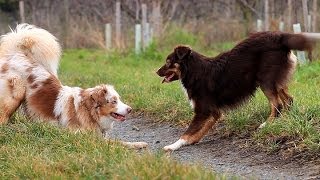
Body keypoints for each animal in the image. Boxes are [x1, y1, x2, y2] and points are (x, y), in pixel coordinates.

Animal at [157, 31, 320, 151]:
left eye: (168, 62)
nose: (156, 72)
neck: (192, 71)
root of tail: (279, 36)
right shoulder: (214, 112)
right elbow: (201, 130)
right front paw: (193, 141)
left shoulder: (203, 111)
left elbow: (188, 131)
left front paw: (173, 146)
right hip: (277, 81)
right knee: (289, 100)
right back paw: (283, 121)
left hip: (266, 80)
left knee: (277, 105)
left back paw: (265, 125)